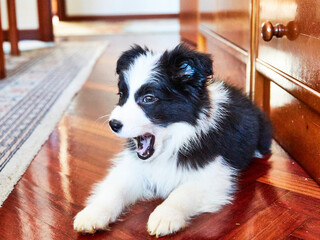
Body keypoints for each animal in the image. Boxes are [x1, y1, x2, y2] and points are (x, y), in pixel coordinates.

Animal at [73, 43, 272, 236]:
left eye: (148, 98)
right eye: (122, 95)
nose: (113, 124)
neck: (173, 143)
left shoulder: (214, 175)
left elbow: (182, 192)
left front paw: (164, 216)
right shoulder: (133, 167)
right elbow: (115, 188)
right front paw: (93, 213)